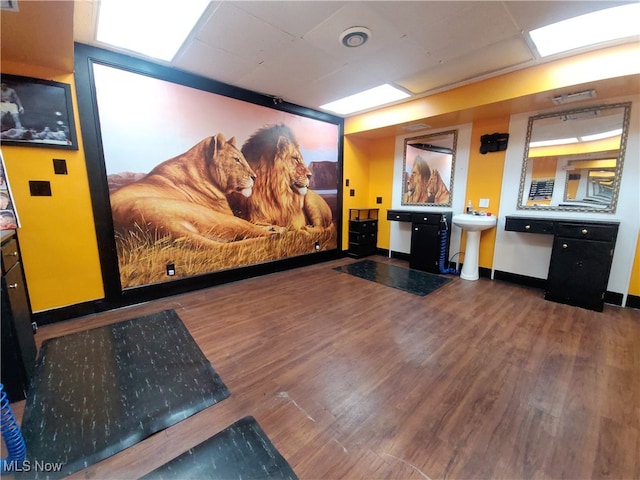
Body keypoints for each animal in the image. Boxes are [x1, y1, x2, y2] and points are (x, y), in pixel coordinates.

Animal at [110, 134, 282, 248]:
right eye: (236, 159)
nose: (255, 177)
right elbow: (253, 222)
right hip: (214, 216)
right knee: (254, 231)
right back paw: (281, 232)